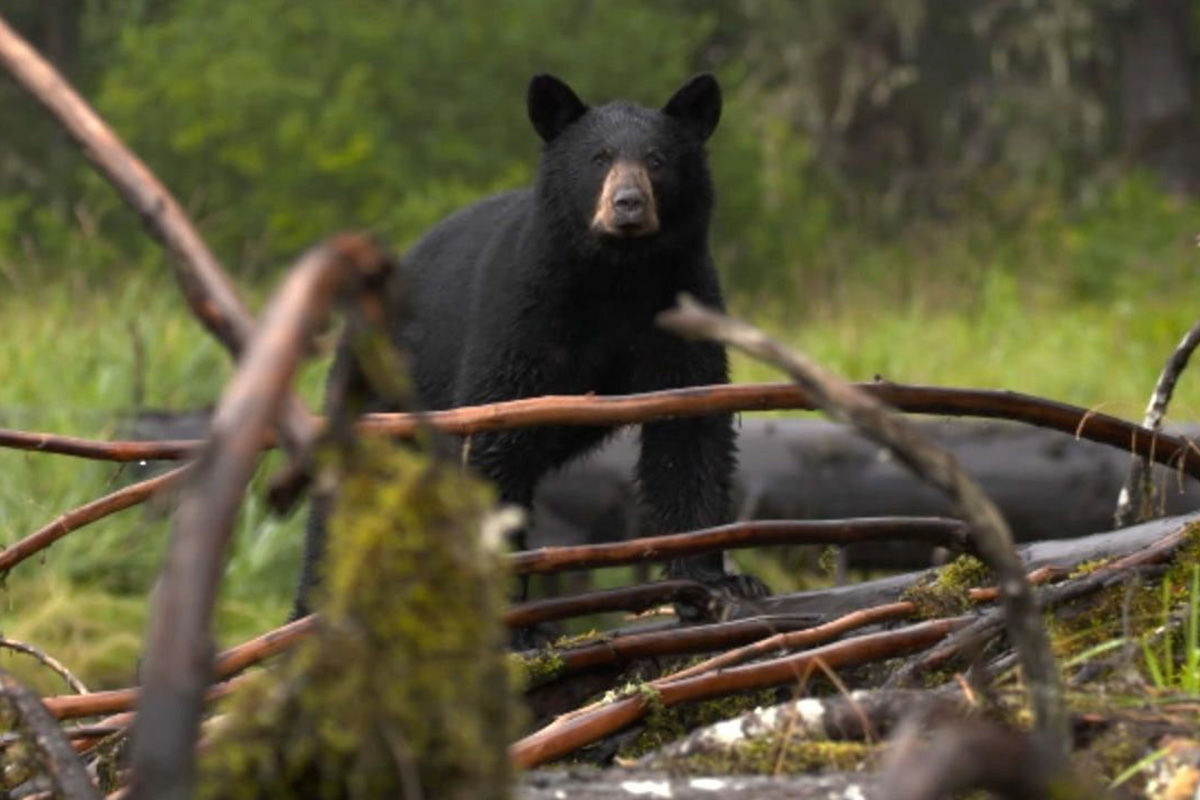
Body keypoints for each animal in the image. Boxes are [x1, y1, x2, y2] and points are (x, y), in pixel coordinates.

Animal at [295, 73, 763, 618]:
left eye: (657, 159)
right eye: (598, 157)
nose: (628, 204)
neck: (617, 275)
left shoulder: (682, 300)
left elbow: (690, 430)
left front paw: (719, 580)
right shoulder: (525, 311)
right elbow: (499, 436)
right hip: (384, 391)